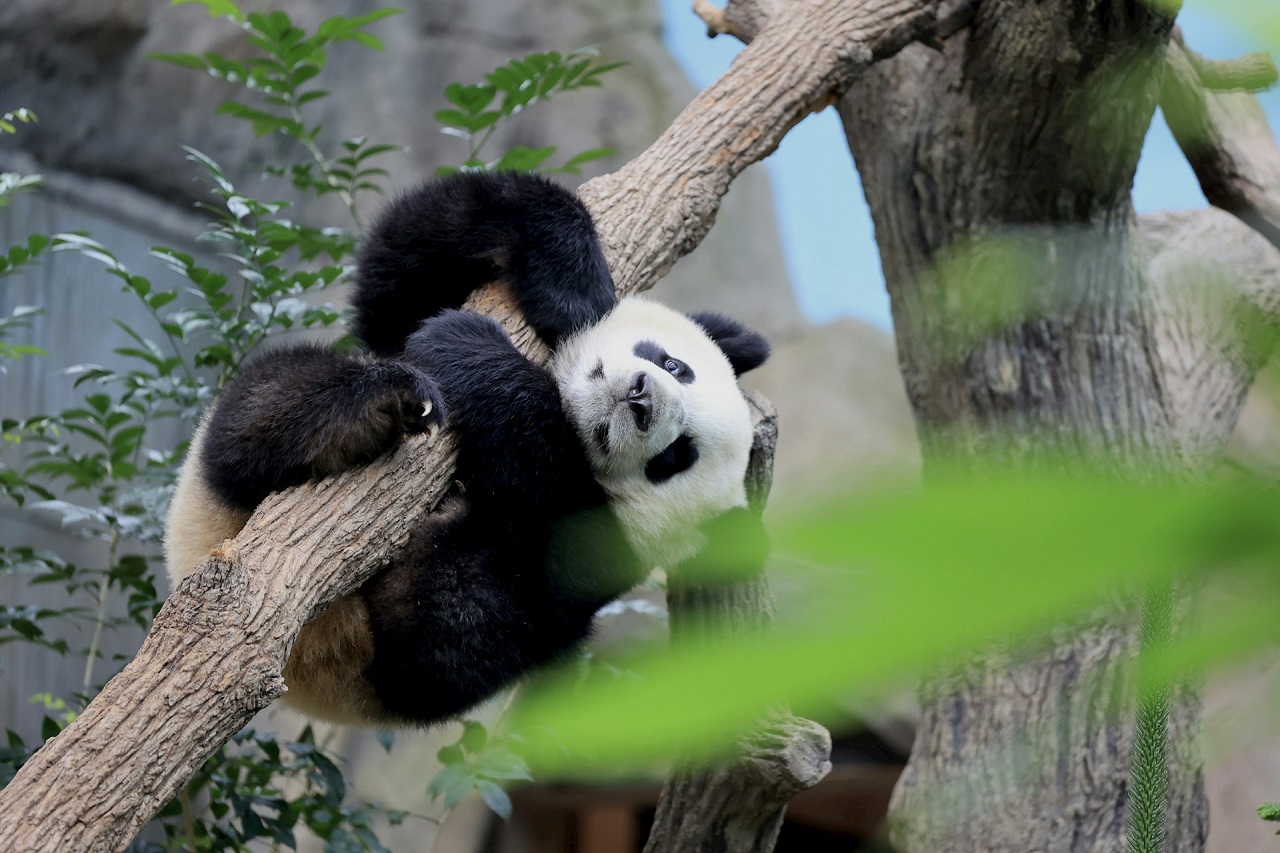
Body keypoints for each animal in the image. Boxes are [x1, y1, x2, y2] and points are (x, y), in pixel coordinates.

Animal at [164, 170, 771, 727]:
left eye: (674, 458)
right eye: (675, 364)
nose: (642, 397)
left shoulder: (595, 556)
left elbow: (499, 592)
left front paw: (472, 350)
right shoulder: (407, 305)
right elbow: (404, 263)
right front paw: (573, 291)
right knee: (268, 401)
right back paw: (366, 410)